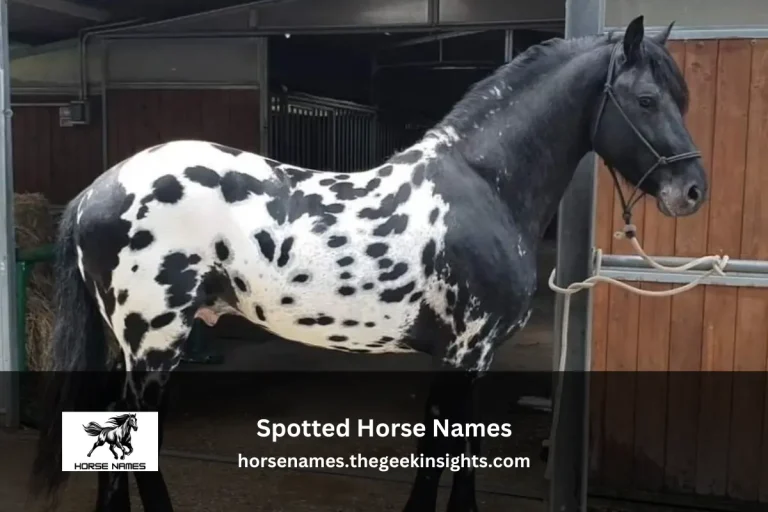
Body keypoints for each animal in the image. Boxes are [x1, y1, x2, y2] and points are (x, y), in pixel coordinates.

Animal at [29, 15, 707, 512]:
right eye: (647, 99)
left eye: (681, 98)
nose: (694, 191)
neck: (484, 185)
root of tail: (98, 190)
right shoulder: (464, 355)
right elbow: (441, 459)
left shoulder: (476, 359)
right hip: (155, 345)